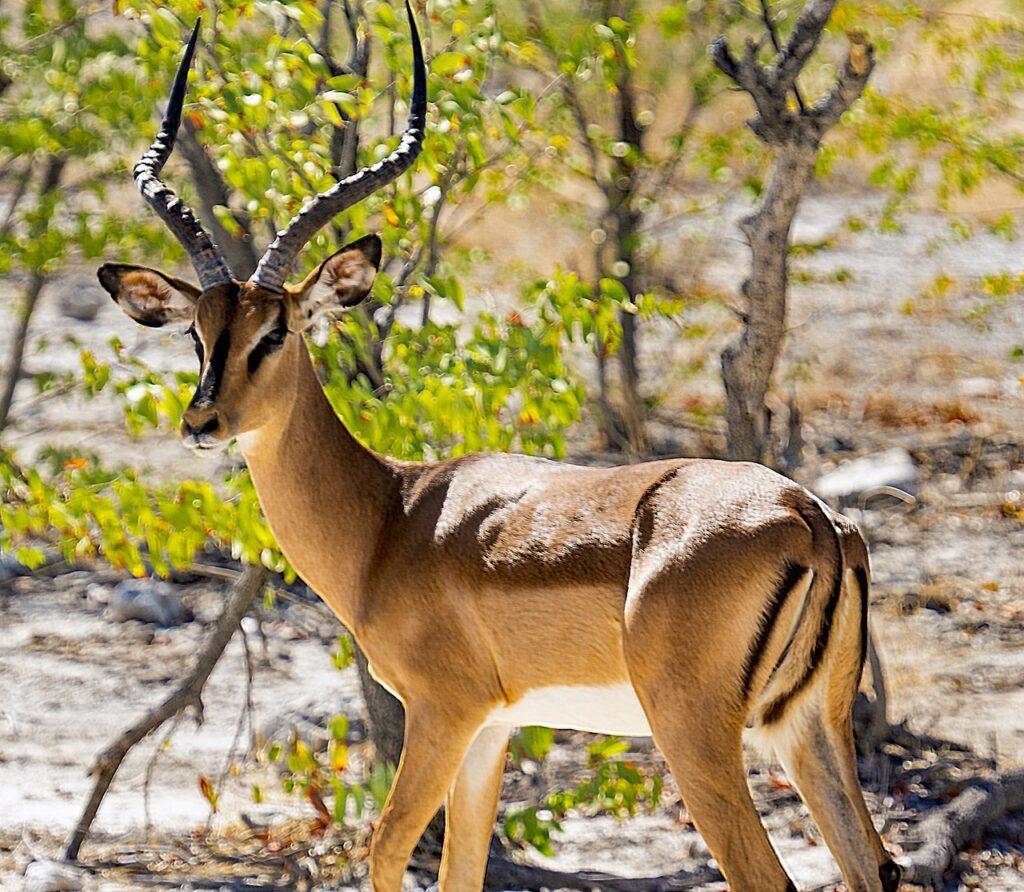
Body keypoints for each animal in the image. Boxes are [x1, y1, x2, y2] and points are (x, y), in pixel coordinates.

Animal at [98, 6, 901, 891]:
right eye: (199, 332)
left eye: (275, 332)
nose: (201, 421)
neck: (389, 522)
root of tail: (813, 518)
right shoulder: (492, 729)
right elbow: (463, 867)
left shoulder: (444, 712)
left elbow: (385, 848)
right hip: (808, 729)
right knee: (877, 866)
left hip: (695, 736)